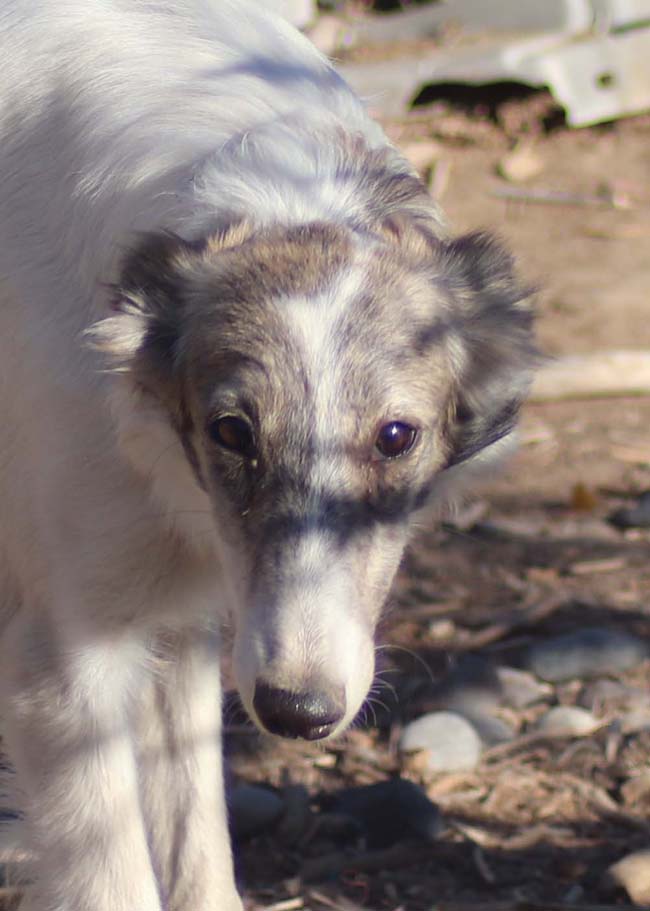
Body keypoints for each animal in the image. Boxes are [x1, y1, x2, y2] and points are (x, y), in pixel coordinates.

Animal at [0, 1, 536, 908]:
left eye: (396, 436)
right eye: (232, 431)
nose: (297, 713)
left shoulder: (179, 613)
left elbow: (198, 851)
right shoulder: (64, 663)